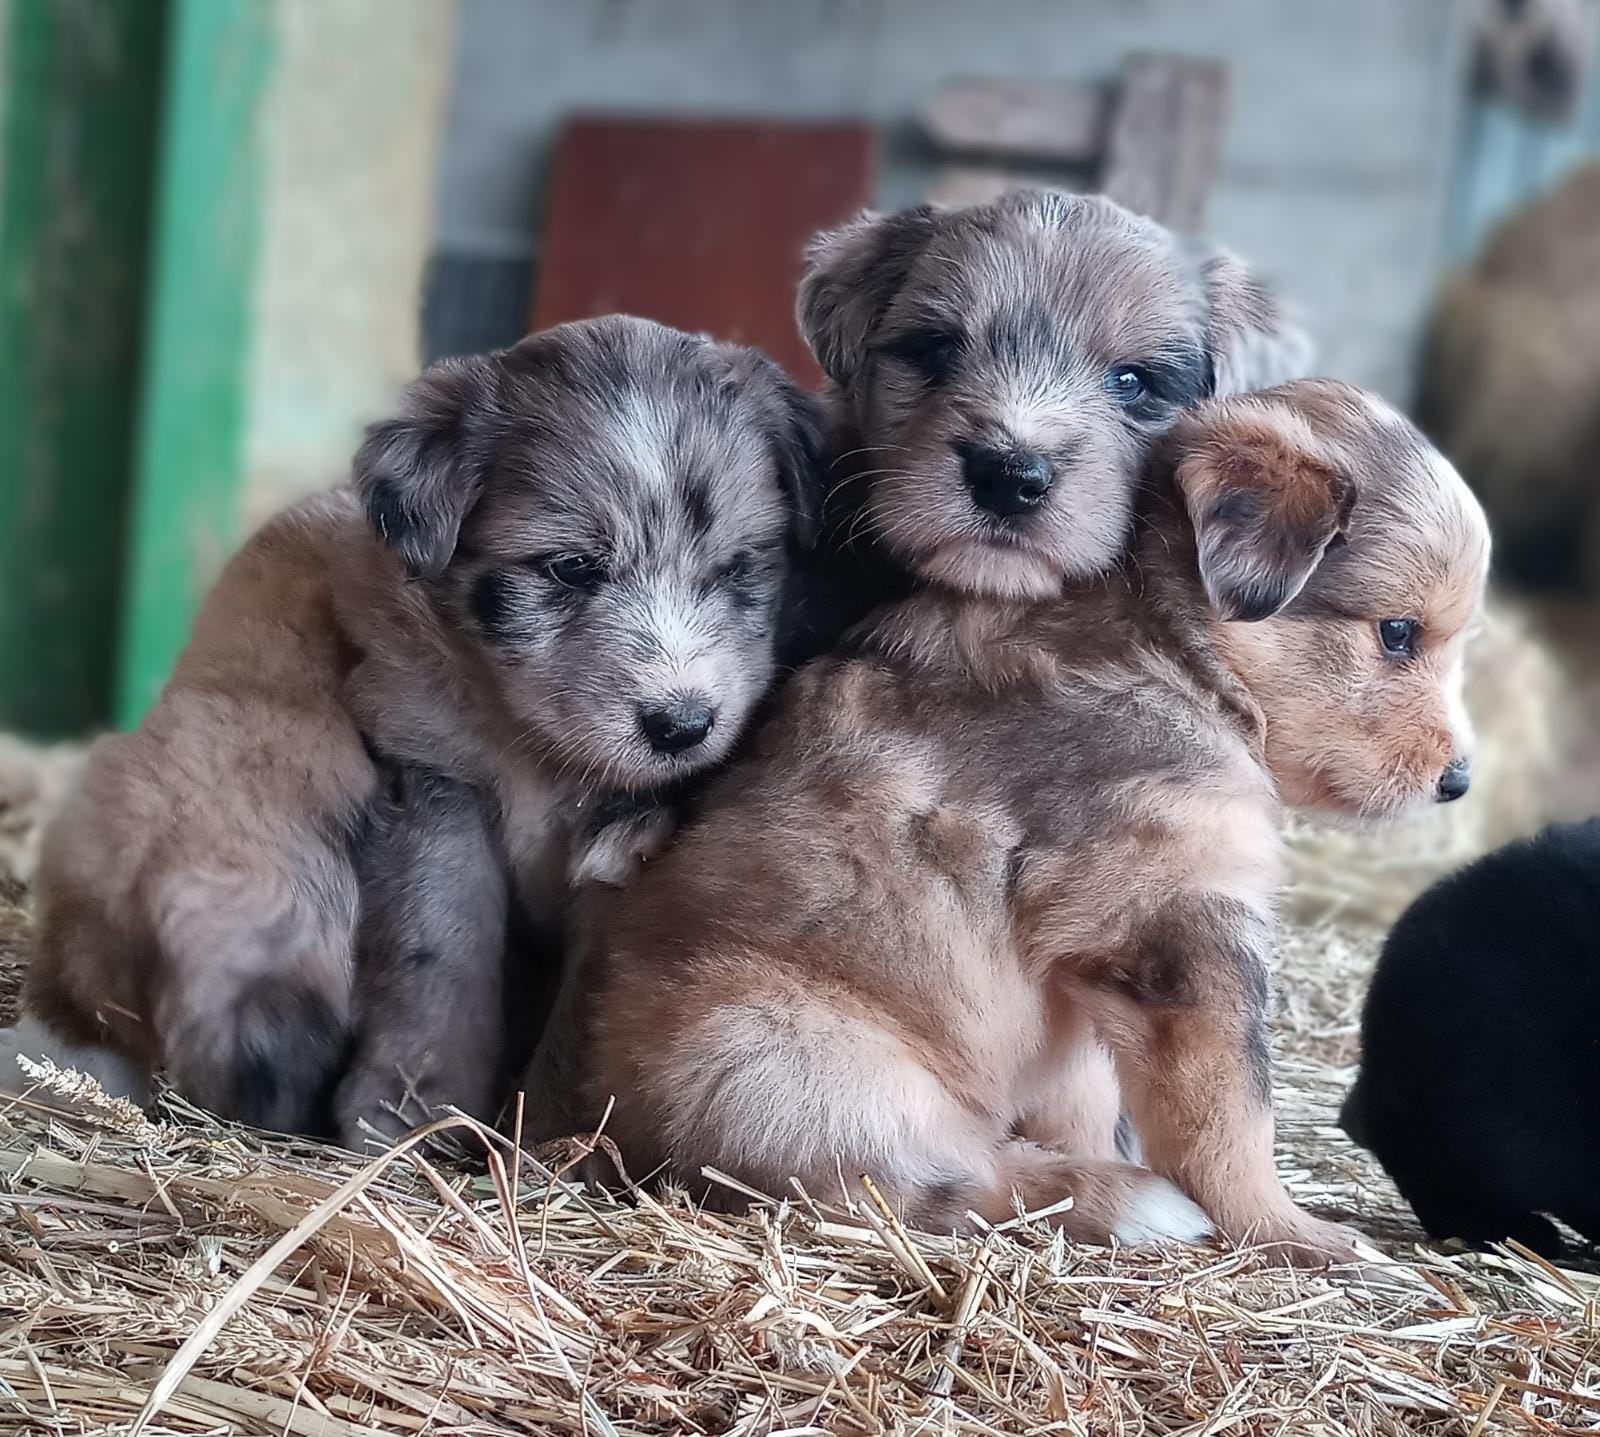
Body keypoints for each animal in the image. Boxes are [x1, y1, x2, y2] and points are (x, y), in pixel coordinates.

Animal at [15, 316, 825, 1139]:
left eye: (736, 569)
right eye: (570, 568)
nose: (682, 725)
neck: (537, 752)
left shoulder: (628, 842)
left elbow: (587, 995)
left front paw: (549, 1130)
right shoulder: (434, 782)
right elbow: (441, 947)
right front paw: (415, 1105)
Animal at [572, 380, 1484, 1267]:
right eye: (1396, 633)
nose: (1461, 780)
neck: (1178, 655)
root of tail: (611, 1129)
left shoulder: (1086, 977)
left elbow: (1094, 1092)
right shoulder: (1183, 923)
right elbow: (1231, 1114)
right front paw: (1296, 1234)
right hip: (794, 1059)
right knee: (911, 1180)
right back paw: (1131, 1202)